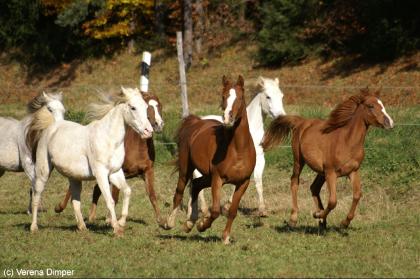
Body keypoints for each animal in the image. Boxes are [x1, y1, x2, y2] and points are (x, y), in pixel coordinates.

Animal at [30, 87, 153, 236]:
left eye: (146, 107)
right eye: (133, 107)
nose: (148, 131)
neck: (108, 139)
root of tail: (54, 125)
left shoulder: (115, 173)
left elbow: (127, 191)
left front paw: (121, 222)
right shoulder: (101, 174)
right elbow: (110, 200)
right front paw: (116, 228)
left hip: (74, 177)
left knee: (75, 201)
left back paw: (82, 227)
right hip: (43, 171)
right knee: (37, 195)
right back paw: (33, 228)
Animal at [56, 93, 165, 225]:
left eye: (159, 105)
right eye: (147, 106)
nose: (158, 125)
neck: (137, 148)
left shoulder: (147, 171)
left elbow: (152, 195)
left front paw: (162, 222)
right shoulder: (118, 171)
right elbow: (115, 196)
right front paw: (110, 220)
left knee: (95, 189)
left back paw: (91, 217)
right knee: (75, 188)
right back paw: (59, 208)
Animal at [193, 77, 286, 218]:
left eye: (281, 96)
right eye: (268, 97)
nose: (281, 116)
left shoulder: (259, 159)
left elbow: (258, 181)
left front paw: (262, 210)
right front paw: (227, 206)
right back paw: (204, 210)